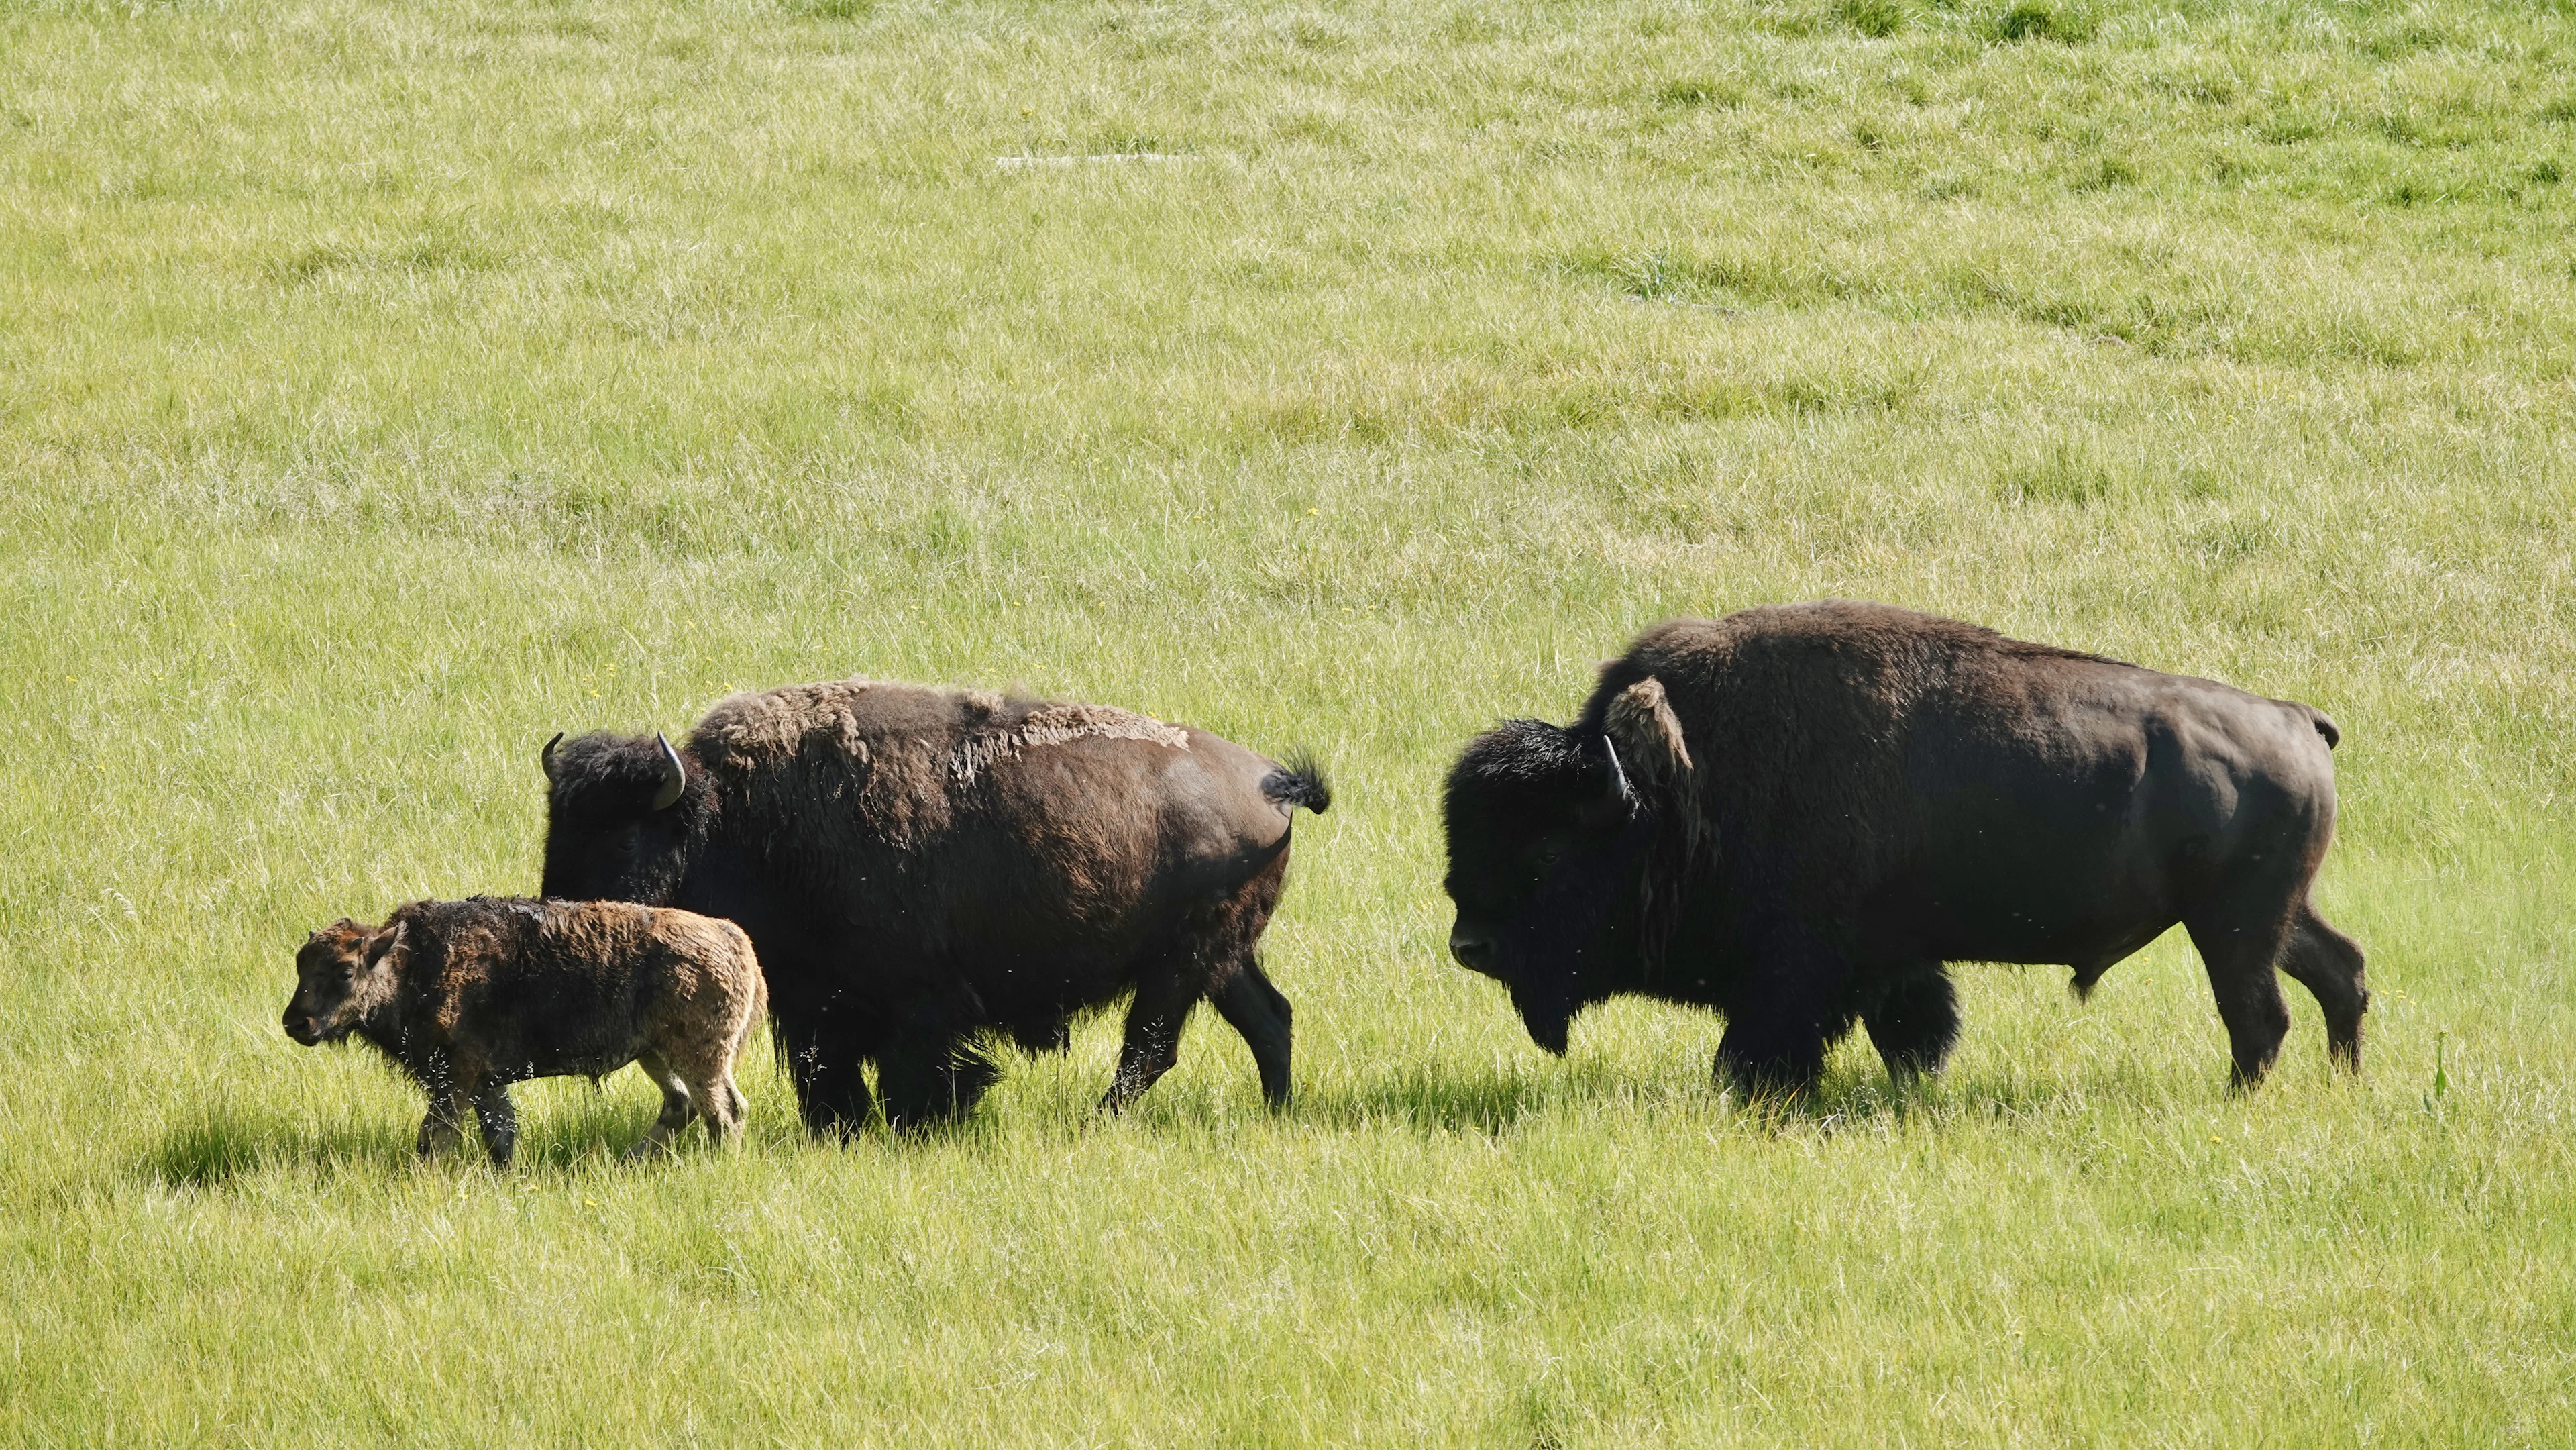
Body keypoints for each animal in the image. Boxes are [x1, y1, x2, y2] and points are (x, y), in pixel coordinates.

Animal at [283, 897, 766, 1165]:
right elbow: (500, 1136)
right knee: (682, 1105)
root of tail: (735, 939)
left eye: (345, 971)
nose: (296, 1022)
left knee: (724, 1112)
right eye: (300, 964)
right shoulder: (486, 1084)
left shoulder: (455, 1078)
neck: (410, 964)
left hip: (699, 1058)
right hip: (655, 1054)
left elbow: (434, 1137)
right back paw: (626, 1163)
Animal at [537, 680, 1331, 1134]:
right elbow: (824, 1068)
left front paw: (920, 1120)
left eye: (625, 837)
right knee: (1269, 1020)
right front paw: (844, 1128)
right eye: (557, 829)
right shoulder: (812, 1001)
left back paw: (1099, 1123)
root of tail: (1270, 783)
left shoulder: (911, 1001)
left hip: (1181, 964)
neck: (737, 815)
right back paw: (1276, 1112)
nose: (559, 919)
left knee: (1153, 1047)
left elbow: (907, 1065)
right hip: (1222, 960)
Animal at [1441, 601, 2368, 1097]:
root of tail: (2294, 717)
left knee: (2261, 1015)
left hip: (2233, 926)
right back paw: (2342, 1081)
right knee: (2339, 972)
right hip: (2274, 916)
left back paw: (2242, 1100)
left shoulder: (1795, 973)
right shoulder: (1891, 964)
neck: (1674, 787)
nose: (1468, 944)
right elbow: (1914, 1033)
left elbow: (1760, 1049)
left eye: (1545, 855)